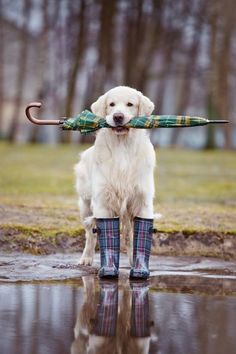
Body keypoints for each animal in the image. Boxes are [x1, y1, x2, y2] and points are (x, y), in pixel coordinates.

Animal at [75, 85, 157, 266]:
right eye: (111, 104)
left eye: (130, 104)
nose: (118, 116)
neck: (122, 147)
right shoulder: (103, 202)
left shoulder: (142, 201)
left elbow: (136, 237)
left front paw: (138, 265)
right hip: (85, 204)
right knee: (90, 234)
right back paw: (86, 258)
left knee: (127, 235)